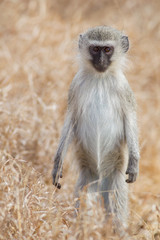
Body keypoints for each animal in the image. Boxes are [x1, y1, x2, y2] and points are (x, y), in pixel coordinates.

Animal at [52, 26, 140, 227]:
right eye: (95, 49)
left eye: (107, 50)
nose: (100, 61)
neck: (100, 77)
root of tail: (100, 179)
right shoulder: (75, 87)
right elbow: (70, 120)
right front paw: (57, 164)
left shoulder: (124, 89)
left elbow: (130, 120)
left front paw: (134, 162)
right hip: (88, 178)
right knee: (84, 201)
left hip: (114, 177)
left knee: (116, 207)